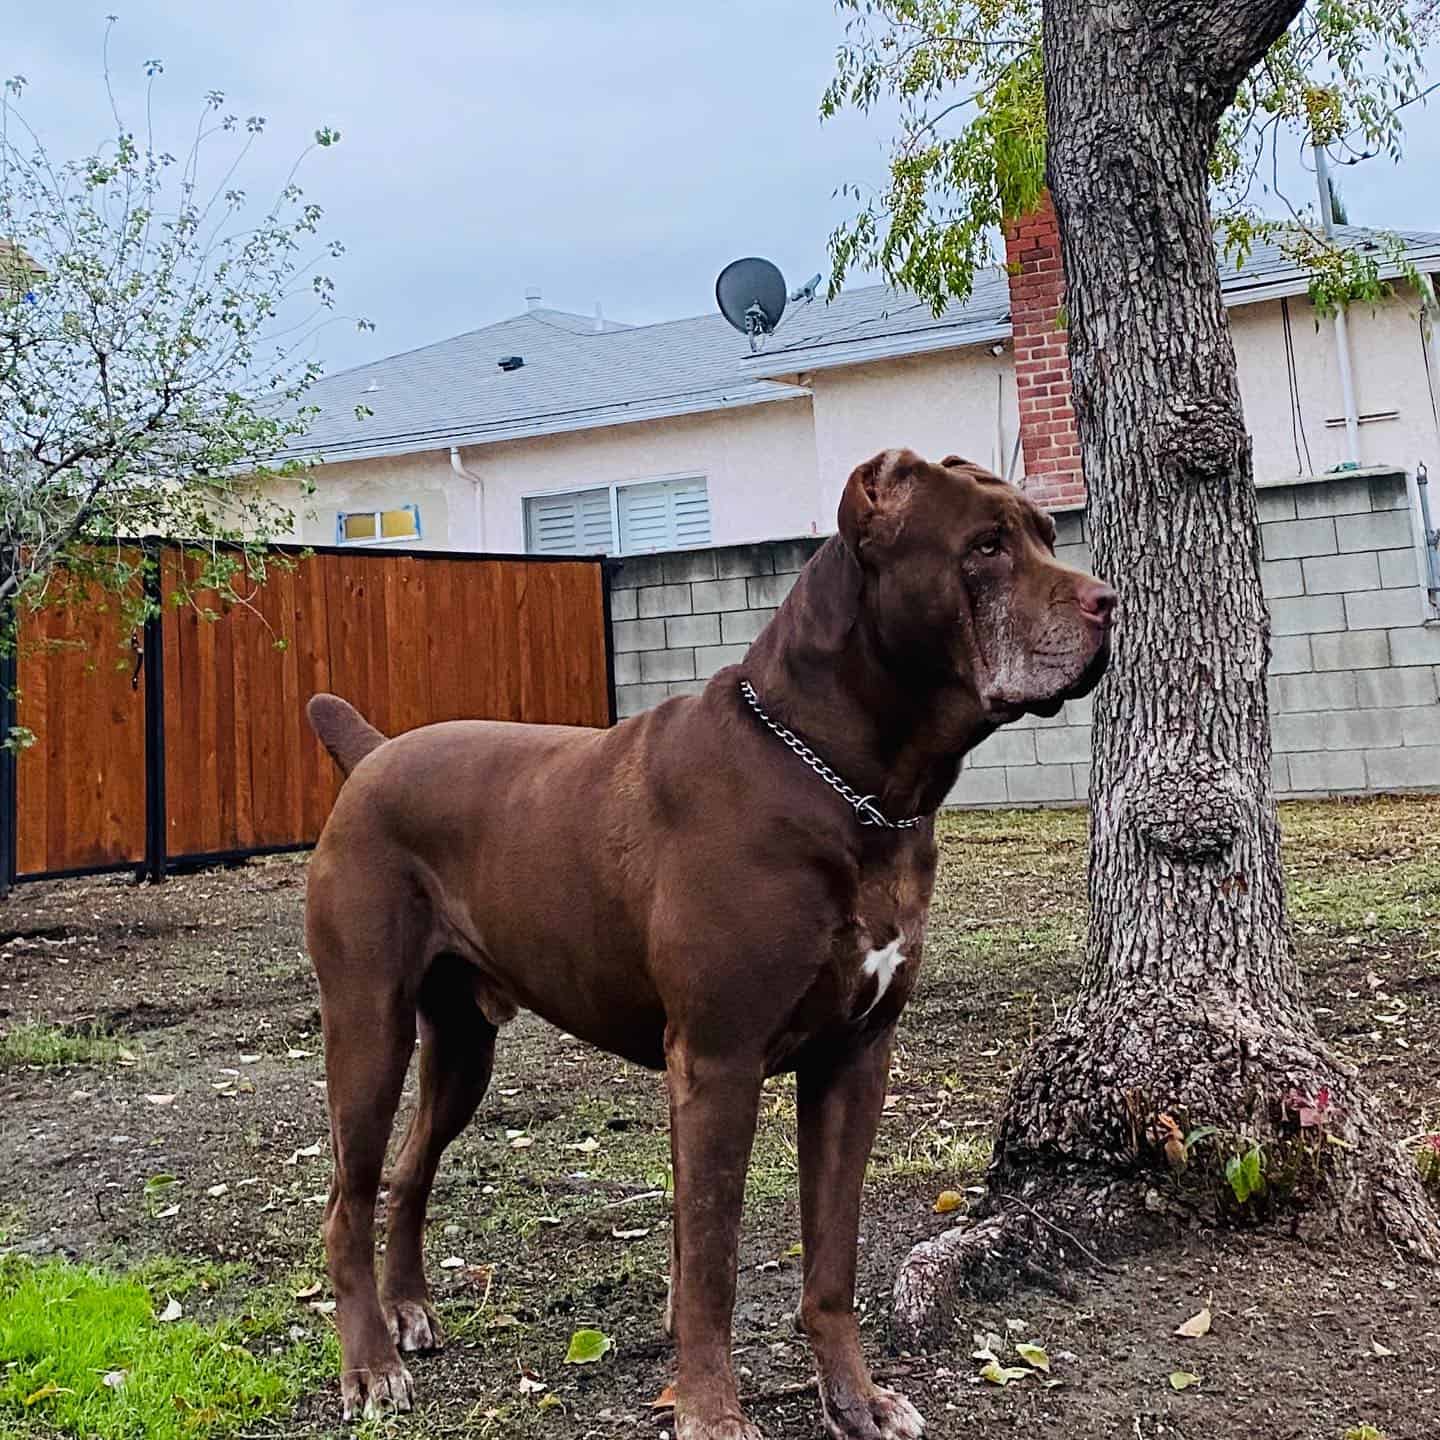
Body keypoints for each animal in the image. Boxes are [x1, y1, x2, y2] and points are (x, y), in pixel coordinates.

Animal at [300, 452, 1111, 1440]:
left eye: (1044, 534)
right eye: (986, 545)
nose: (1109, 601)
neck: (851, 787)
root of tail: (374, 755)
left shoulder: (855, 1059)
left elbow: (831, 1259)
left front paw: (855, 1399)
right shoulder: (720, 1062)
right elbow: (711, 1263)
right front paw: (713, 1414)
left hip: (461, 1044)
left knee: (410, 1170)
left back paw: (409, 1309)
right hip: (368, 1026)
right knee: (347, 1196)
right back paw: (370, 1364)